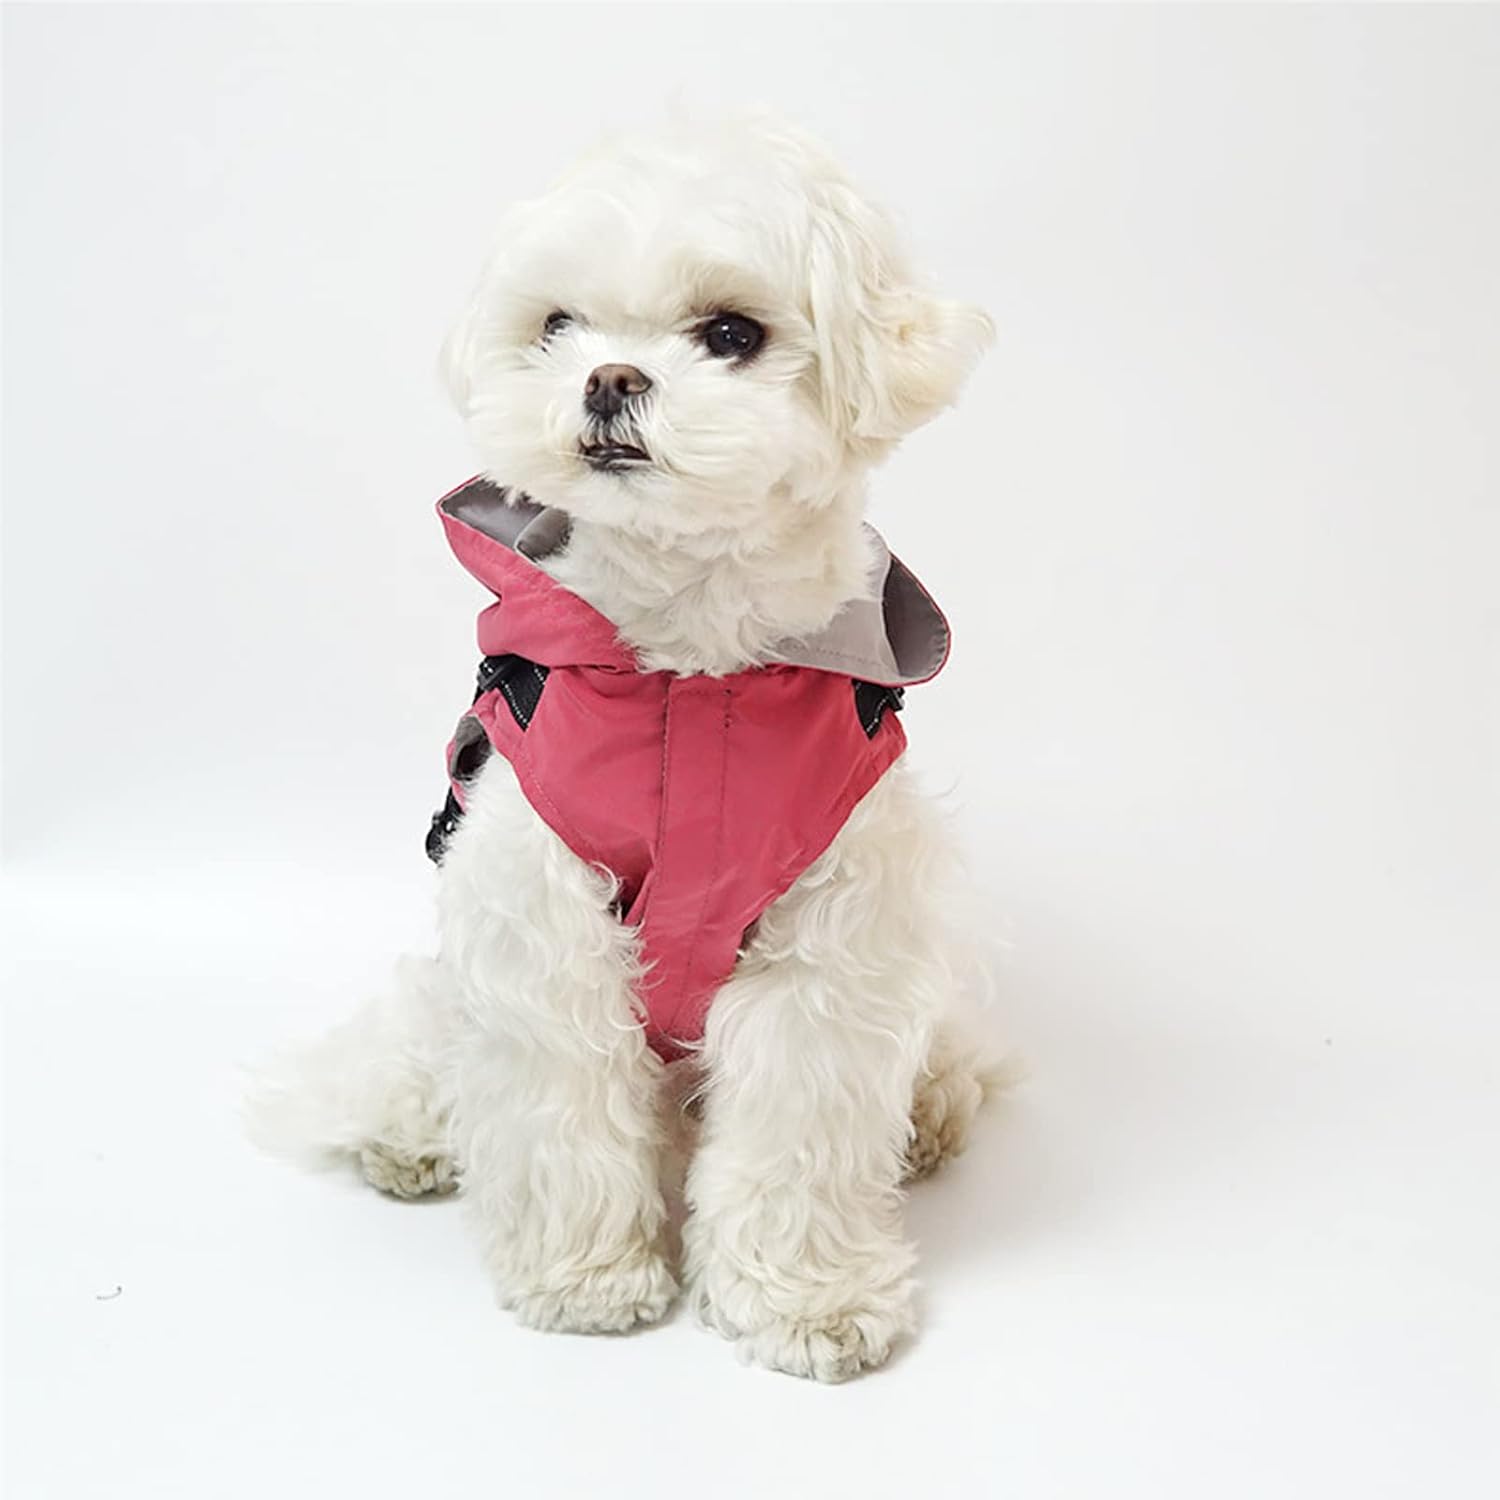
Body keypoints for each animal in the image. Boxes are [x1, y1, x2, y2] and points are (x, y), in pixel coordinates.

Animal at [249, 117, 996, 1382]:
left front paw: (808, 1300)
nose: (609, 380)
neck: (690, 671)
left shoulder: (831, 932)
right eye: (558, 327)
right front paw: (586, 1281)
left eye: (732, 334)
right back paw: (412, 1140)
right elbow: (560, 1106)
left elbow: (798, 1124)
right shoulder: (538, 911)